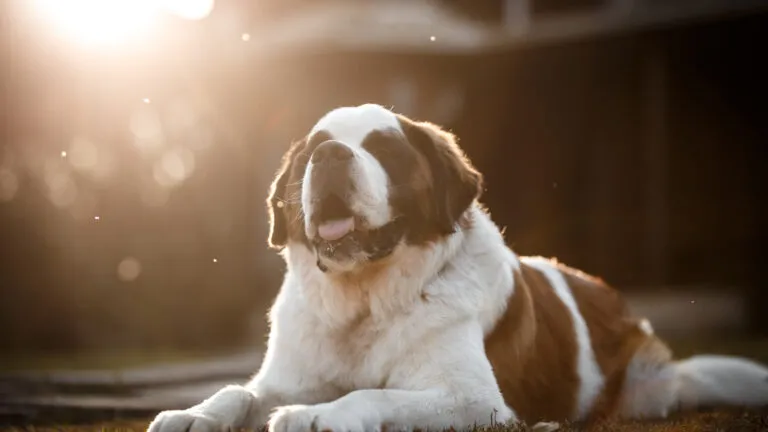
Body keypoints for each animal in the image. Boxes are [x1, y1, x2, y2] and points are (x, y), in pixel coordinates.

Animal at [148, 103, 768, 430]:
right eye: (312, 151)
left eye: (383, 149)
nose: (328, 156)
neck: (363, 301)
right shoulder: (286, 376)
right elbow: (240, 391)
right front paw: (194, 413)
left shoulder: (471, 399)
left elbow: (375, 395)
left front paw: (315, 417)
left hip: (647, 386)